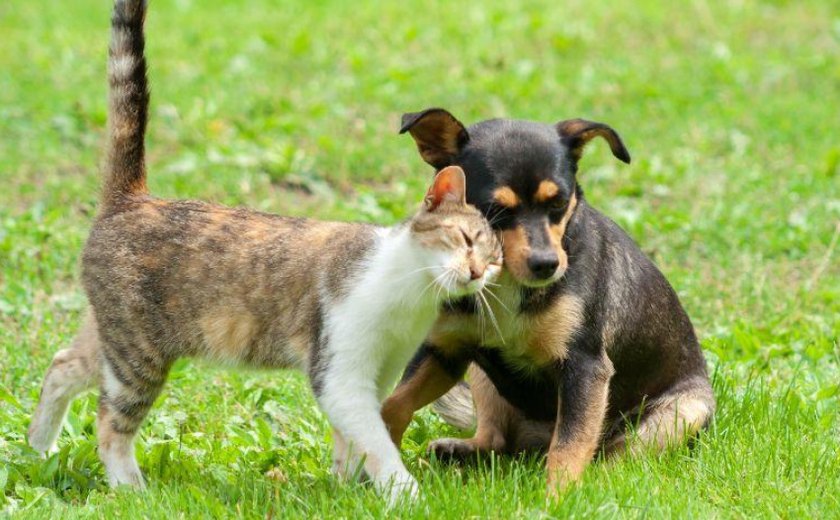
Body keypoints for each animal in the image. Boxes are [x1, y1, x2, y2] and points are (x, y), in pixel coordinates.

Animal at [27, 0, 498, 504]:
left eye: (494, 262)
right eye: (466, 239)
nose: (476, 272)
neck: (410, 295)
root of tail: (132, 198)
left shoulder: (381, 371)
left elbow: (352, 442)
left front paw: (345, 487)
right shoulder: (339, 375)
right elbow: (376, 441)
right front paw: (404, 493)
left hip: (114, 335)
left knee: (61, 365)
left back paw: (39, 450)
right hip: (139, 354)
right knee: (110, 425)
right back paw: (131, 489)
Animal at [380, 109, 716, 496]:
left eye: (558, 203)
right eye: (495, 210)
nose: (546, 264)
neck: (506, 282)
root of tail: (533, 441)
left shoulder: (585, 367)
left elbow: (569, 447)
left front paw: (557, 500)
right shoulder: (445, 352)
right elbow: (393, 404)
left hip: (680, 414)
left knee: (611, 456)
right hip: (482, 378)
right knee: (495, 440)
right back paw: (458, 450)